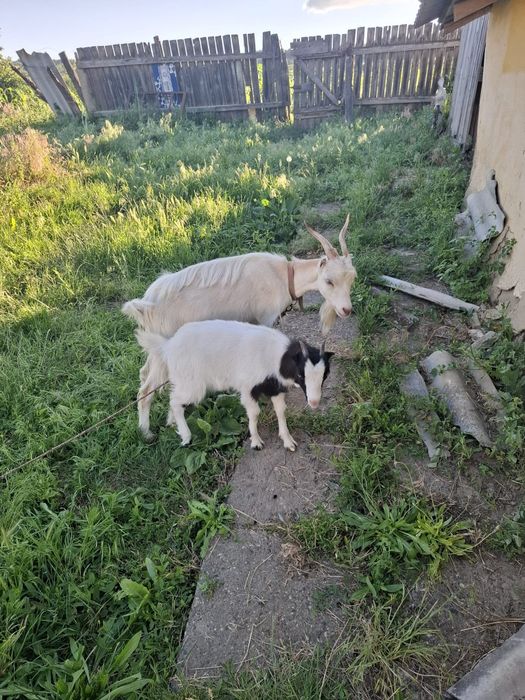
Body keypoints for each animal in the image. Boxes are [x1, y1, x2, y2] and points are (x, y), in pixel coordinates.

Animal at [135, 320, 334, 450]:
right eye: (301, 374)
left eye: (325, 375)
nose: (314, 403)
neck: (277, 357)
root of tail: (167, 346)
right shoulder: (248, 387)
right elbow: (254, 413)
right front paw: (256, 442)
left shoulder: (275, 388)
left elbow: (281, 411)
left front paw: (288, 441)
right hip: (192, 383)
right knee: (175, 401)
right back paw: (185, 436)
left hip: (182, 380)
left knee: (172, 397)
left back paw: (170, 424)